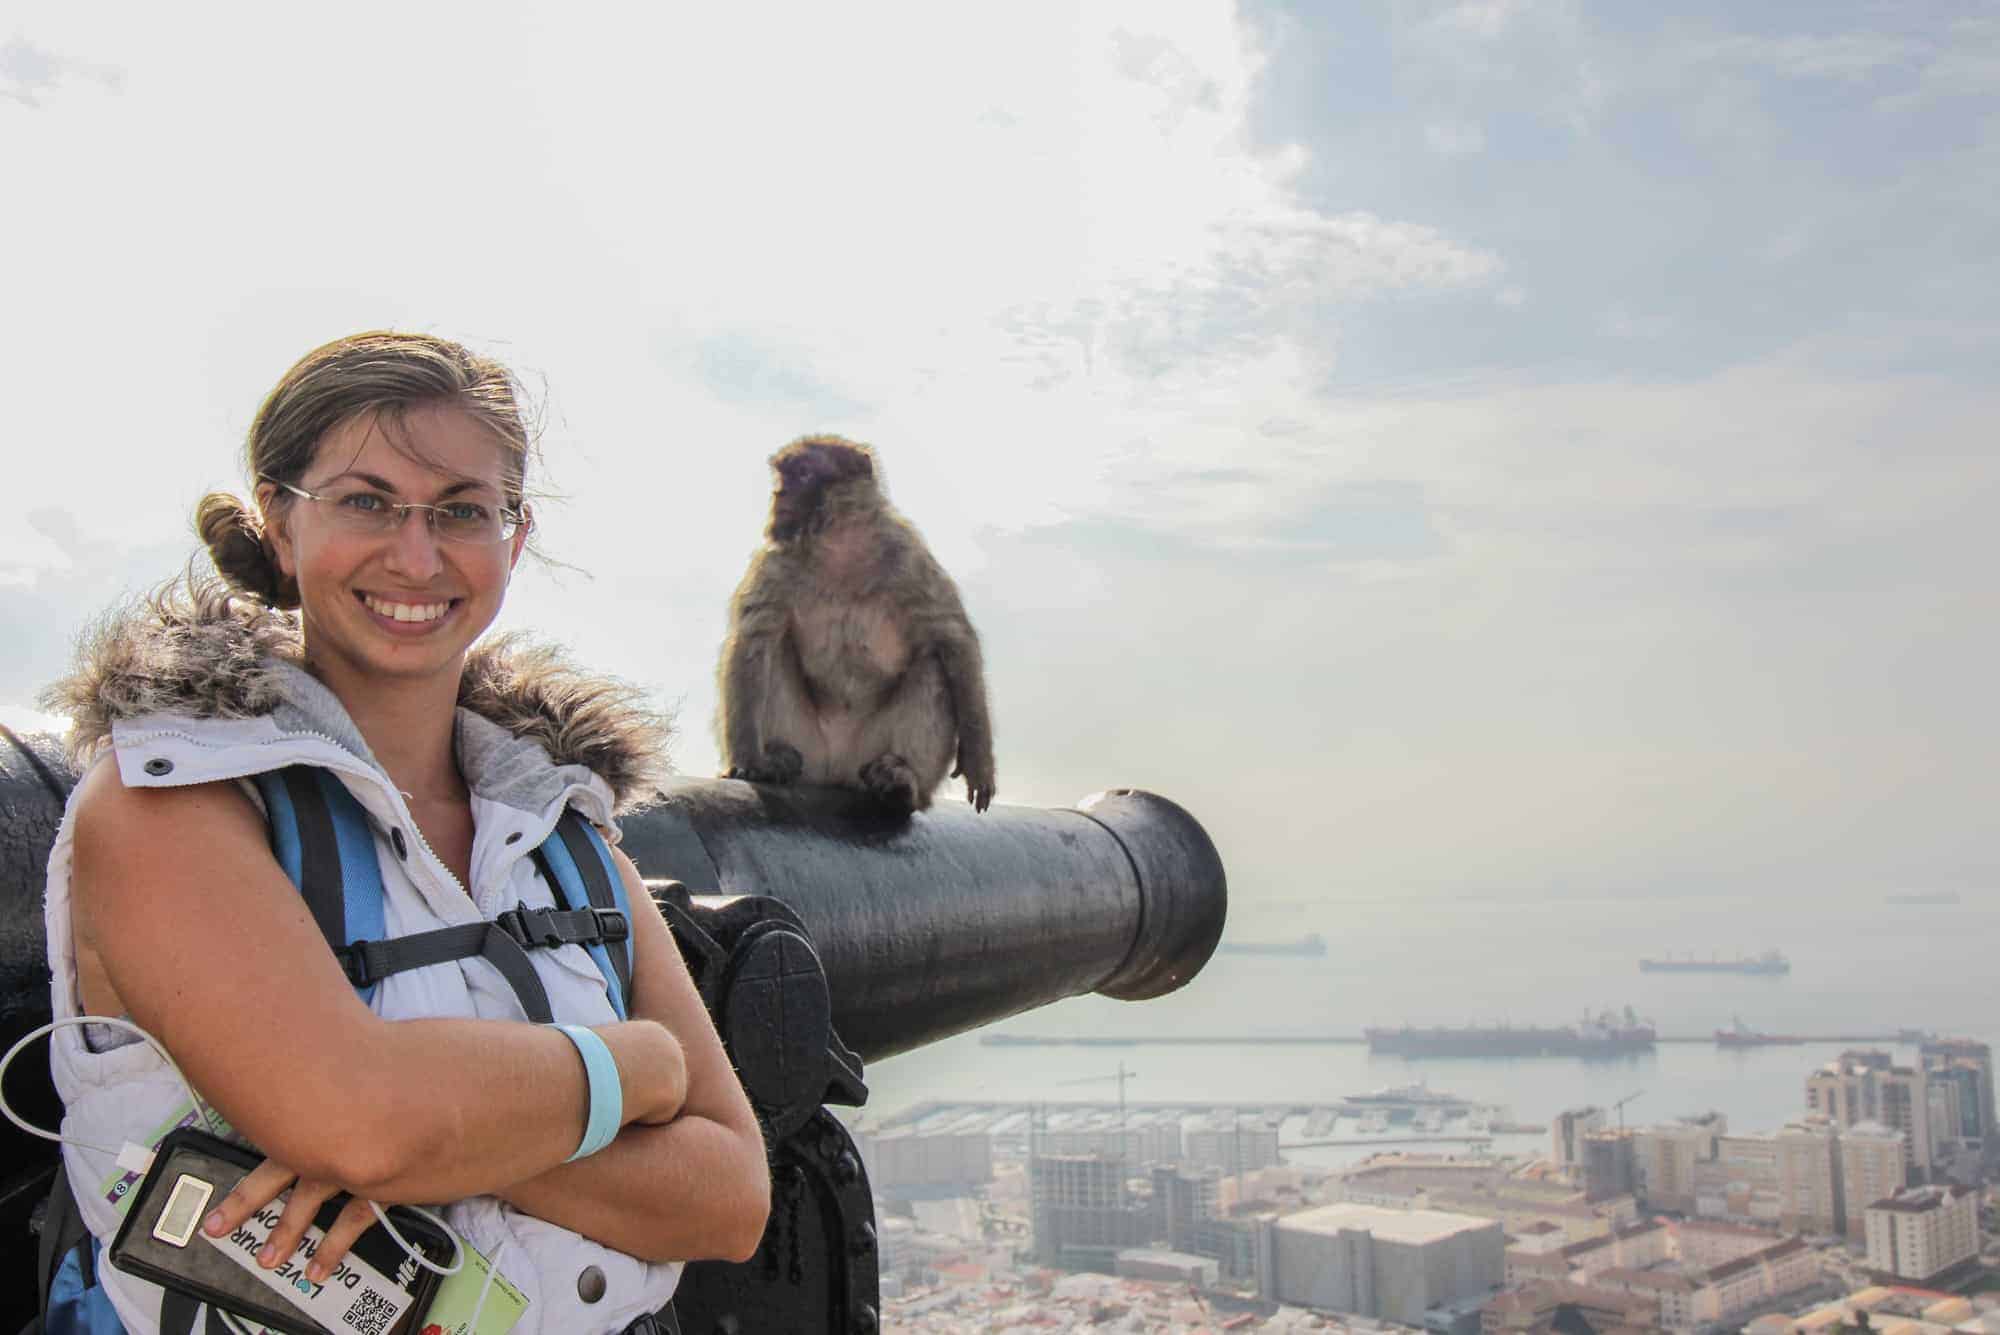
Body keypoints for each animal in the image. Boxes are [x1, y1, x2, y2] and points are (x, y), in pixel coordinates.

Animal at [720, 437, 1000, 815]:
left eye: (803, 473)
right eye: (782, 475)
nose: (779, 494)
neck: (841, 547)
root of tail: (836, 770)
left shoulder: (909, 557)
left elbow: (954, 639)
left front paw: (978, 761)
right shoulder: (775, 562)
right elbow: (754, 640)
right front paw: (749, 762)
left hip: (868, 752)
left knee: (934, 664)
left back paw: (903, 781)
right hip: (809, 747)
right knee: (775, 649)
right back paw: (777, 761)